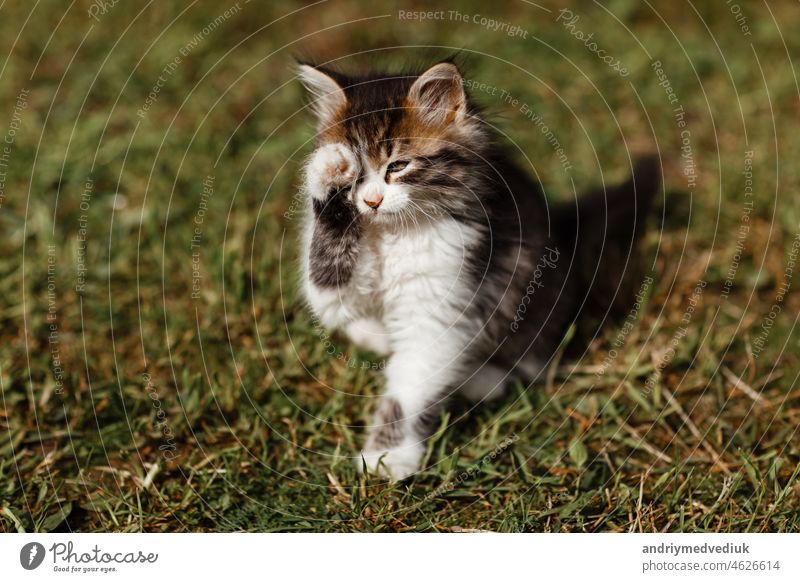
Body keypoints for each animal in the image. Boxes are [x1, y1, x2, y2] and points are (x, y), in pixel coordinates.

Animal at [296, 59, 660, 482]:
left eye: (397, 166)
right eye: (356, 178)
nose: (370, 201)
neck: (393, 232)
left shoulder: (443, 302)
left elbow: (409, 388)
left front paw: (388, 457)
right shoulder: (336, 291)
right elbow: (327, 282)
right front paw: (327, 171)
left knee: (529, 357)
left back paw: (479, 379)